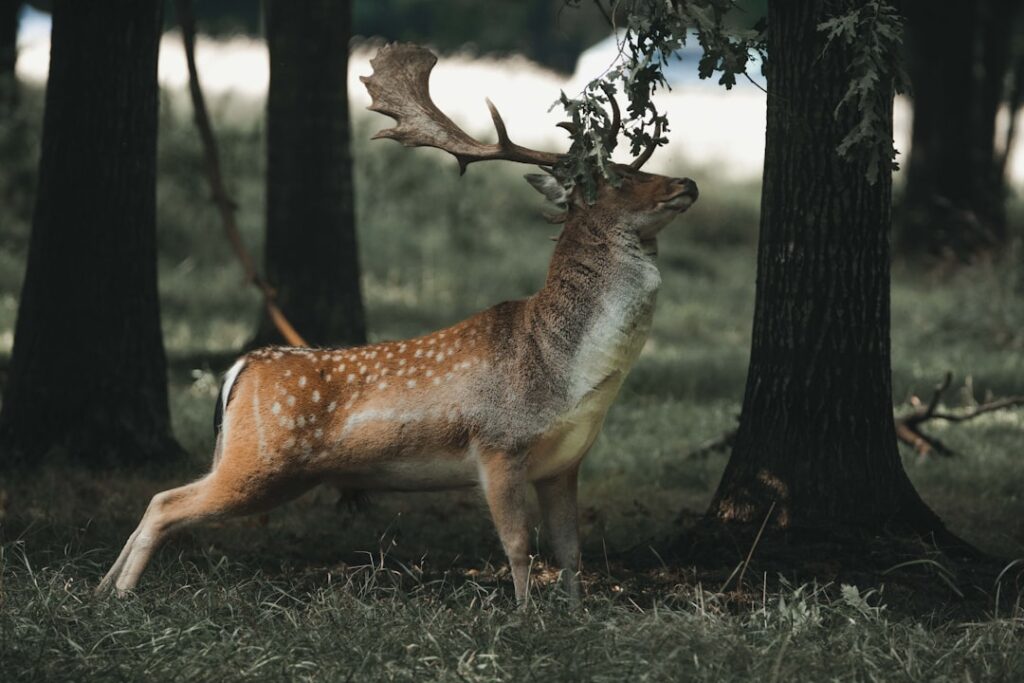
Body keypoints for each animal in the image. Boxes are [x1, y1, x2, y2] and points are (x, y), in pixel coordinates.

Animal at [96, 43, 698, 605]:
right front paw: (526, 617)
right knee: (167, 503)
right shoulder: (497, 444)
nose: (686, 183)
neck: (567, 374)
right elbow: (518, 547)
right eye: (617, 177)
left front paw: (573, 615)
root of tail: (238, 370)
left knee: (159, 496)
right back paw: (122, 595)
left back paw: (101, 589)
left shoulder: (563, 463)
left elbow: (571, 551)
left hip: (244, 458)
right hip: (260, 462)